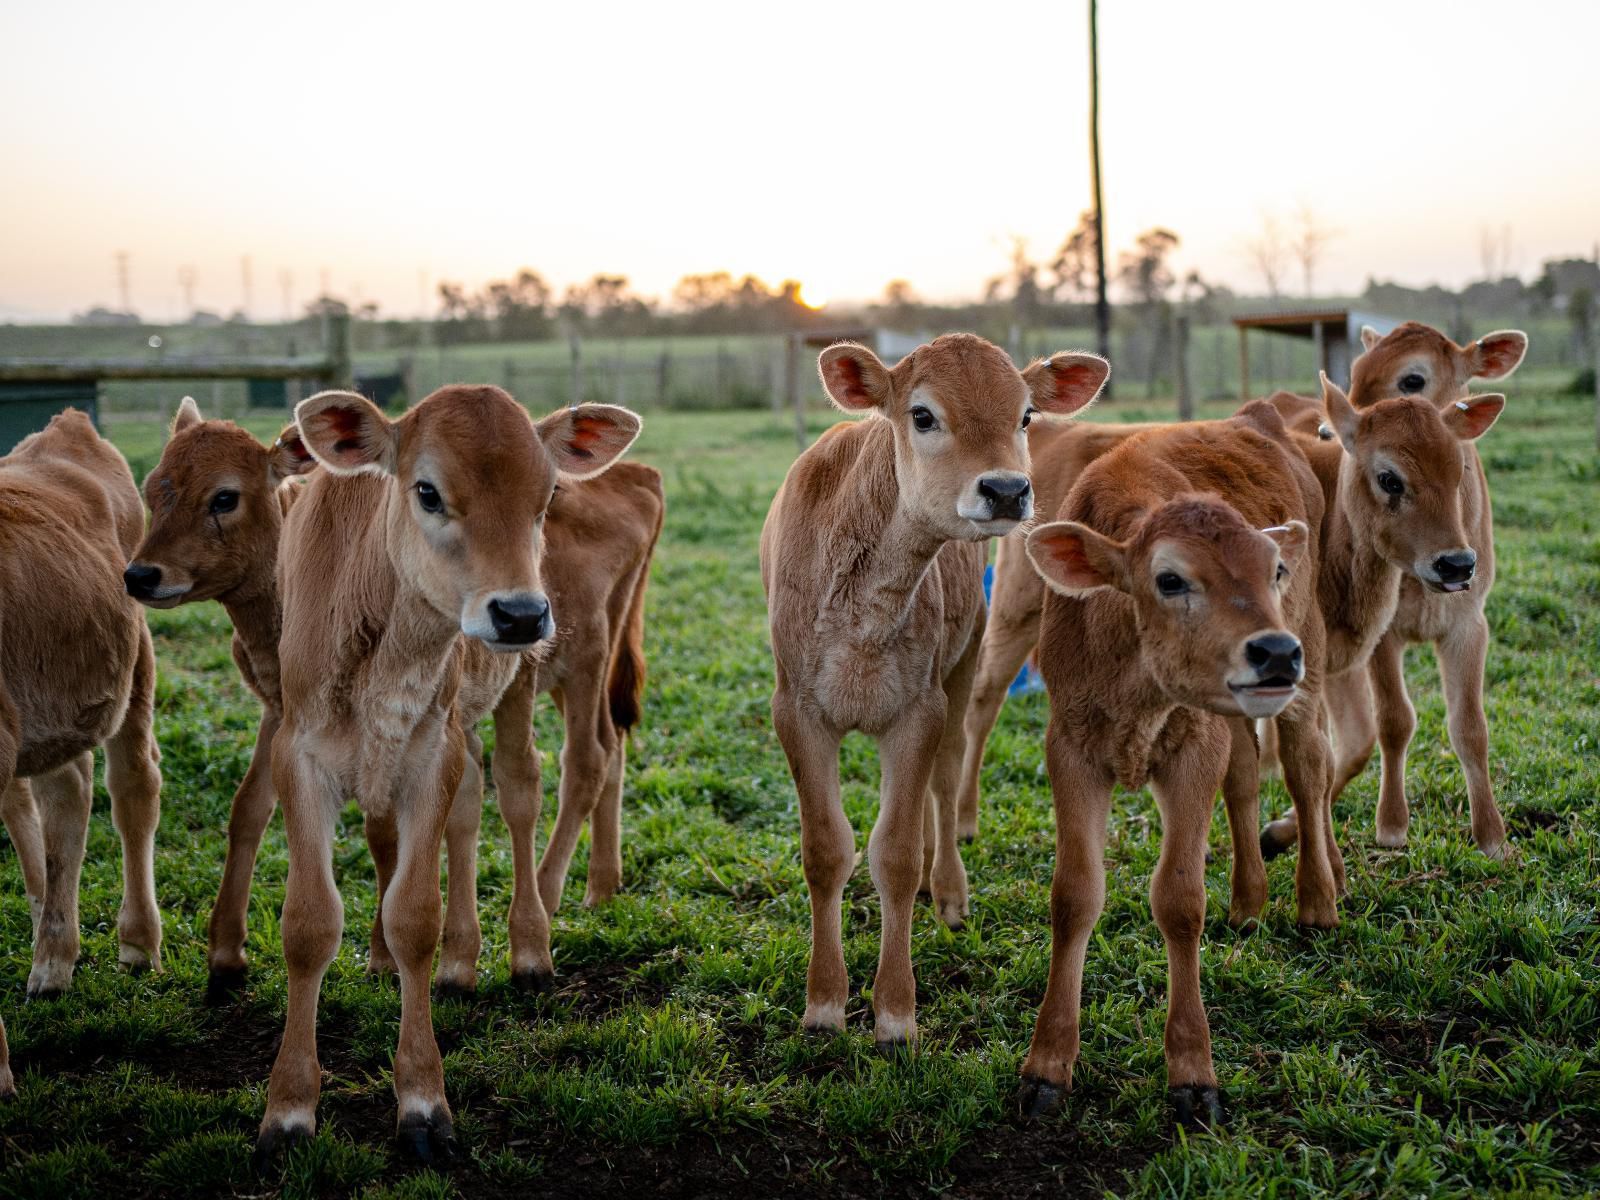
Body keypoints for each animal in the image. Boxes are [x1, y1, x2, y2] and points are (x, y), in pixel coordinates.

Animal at [252, 387, 633, 1164]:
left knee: (522, 789)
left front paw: (423, 1103)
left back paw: (528, 947)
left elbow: (413, 917)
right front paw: (289, 1108)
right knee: (474, 807)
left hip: (527, 682)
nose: (519, 613)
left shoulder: (431, 750)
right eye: (427, 491)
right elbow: (309, 923)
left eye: (547, 494)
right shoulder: (299, 756)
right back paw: (464, 960)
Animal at [758, 334, 1107, 1049]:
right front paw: (824, 1003)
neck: (865, 604)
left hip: (965, 662)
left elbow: (891, 853)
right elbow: (827, 849)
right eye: (922, 415)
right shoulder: (796, 709)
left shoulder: (920, 709)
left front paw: (895, 1012)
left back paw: (944, 890)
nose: (1006, 489)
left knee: (943, 789)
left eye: (1025, 415)